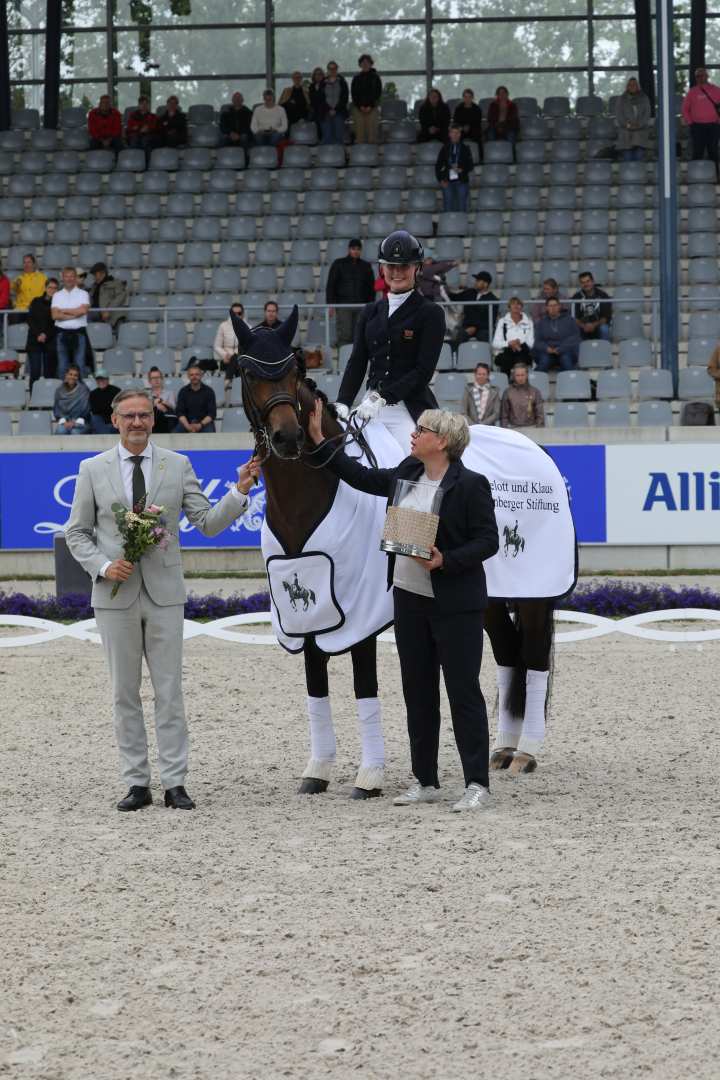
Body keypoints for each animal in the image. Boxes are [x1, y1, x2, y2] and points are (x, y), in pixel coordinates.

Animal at [232, 308, 388, 799]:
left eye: (293, 369)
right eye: (249, 373)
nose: (287, 437)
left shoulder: (361, 615)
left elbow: (364, 686)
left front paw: (369, 777)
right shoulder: (304, 617)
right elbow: (315, 684)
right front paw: (317, 770)